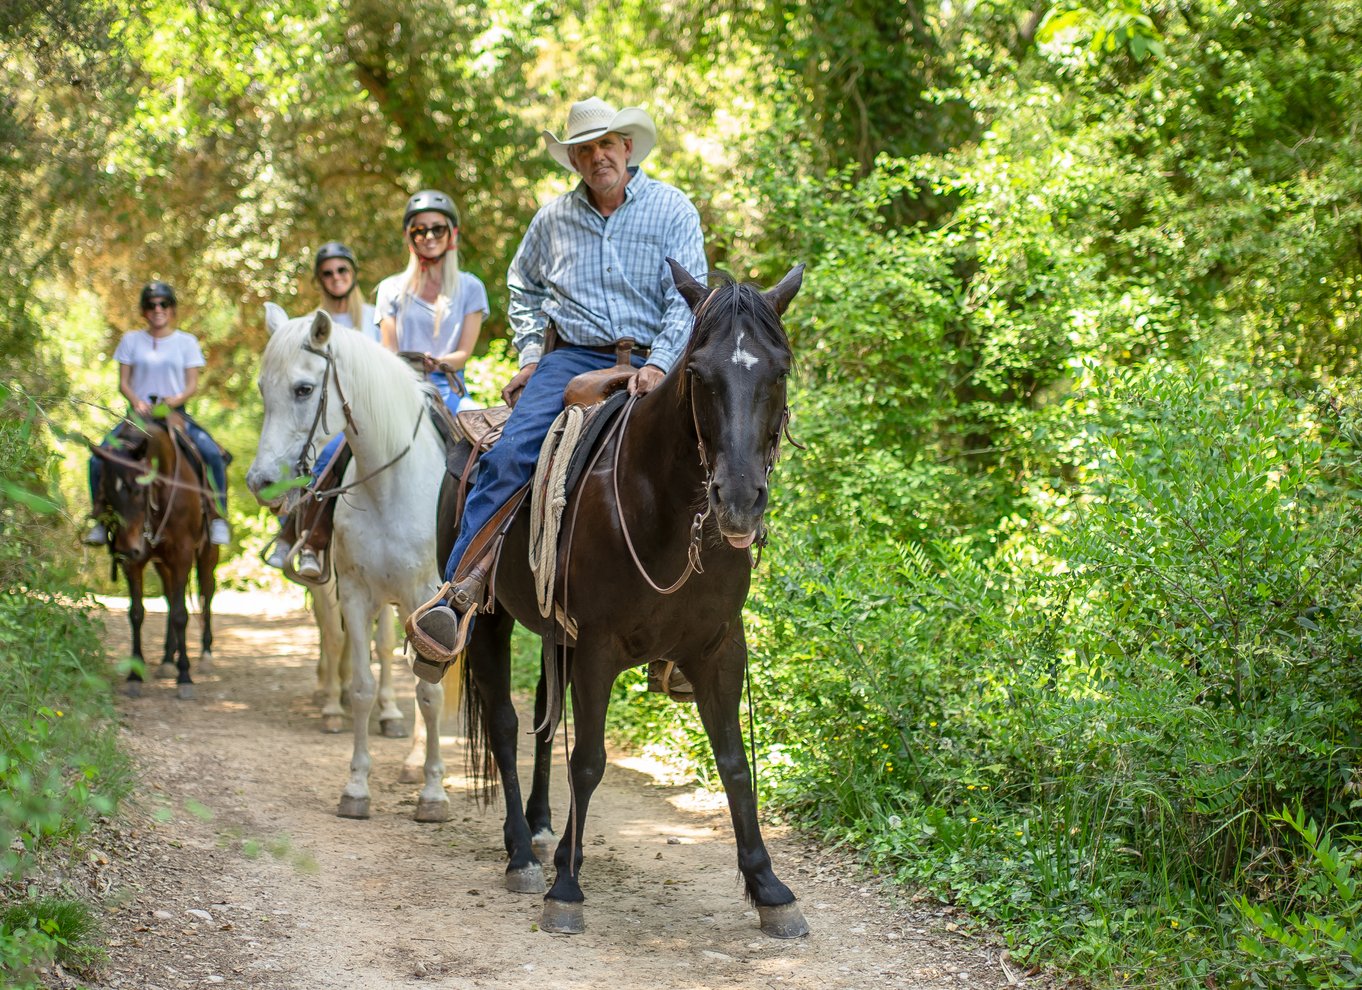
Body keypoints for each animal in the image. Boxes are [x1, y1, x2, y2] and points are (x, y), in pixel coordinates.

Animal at [93, 416, 217, 697]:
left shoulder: (182, 554)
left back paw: (205, 655)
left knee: (206, 593)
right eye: (106, 493)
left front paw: (185, 677)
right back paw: (167, 660)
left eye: (138, 491)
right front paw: (134, 675)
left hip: (207, 554)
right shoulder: (134, 562)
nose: (125, 549)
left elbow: (182, 614)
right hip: (163, 564)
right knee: (171, 597)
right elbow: (137, 613)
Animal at [247, 306, 454, 822]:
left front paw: (433, 794)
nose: (260, 482)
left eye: (303, 389)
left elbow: (429, 693)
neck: (390, 487)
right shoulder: (358, 595)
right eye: (262, 389)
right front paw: (356, 787)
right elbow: (360, 683)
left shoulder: (425, 603)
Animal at [452, 260, 800, 942]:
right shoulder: (598, 648)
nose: (739, 500)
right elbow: (589, 760)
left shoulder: (720, 649)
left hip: (554, 634)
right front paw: (565, 887)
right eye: (699, 373)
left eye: (779, 370)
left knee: (543, 720)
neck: (658, 503)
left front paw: (770, 889)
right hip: (489, 620)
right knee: (505, 724)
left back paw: (540, 828)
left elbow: (734, 765)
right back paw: (521, 852)